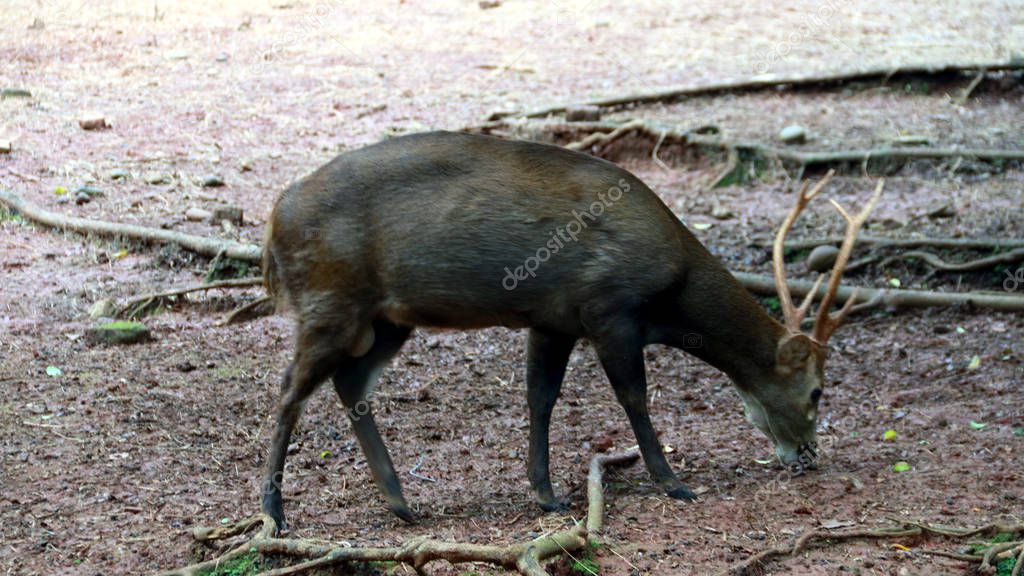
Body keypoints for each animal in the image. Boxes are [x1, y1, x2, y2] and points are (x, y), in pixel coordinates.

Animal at [260, 127, 884, 528]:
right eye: (817, 391)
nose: (808, 454)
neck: (672, 290)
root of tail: (273, 219)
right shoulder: (608, 306)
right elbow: (634, 398)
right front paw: (673, 482)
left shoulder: (552, 319)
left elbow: (541, 398)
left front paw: (547, 494)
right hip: (330, 298)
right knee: (290, 389)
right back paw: (275, 512)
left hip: (386, 318)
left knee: (351, 384)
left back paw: (401, 503)